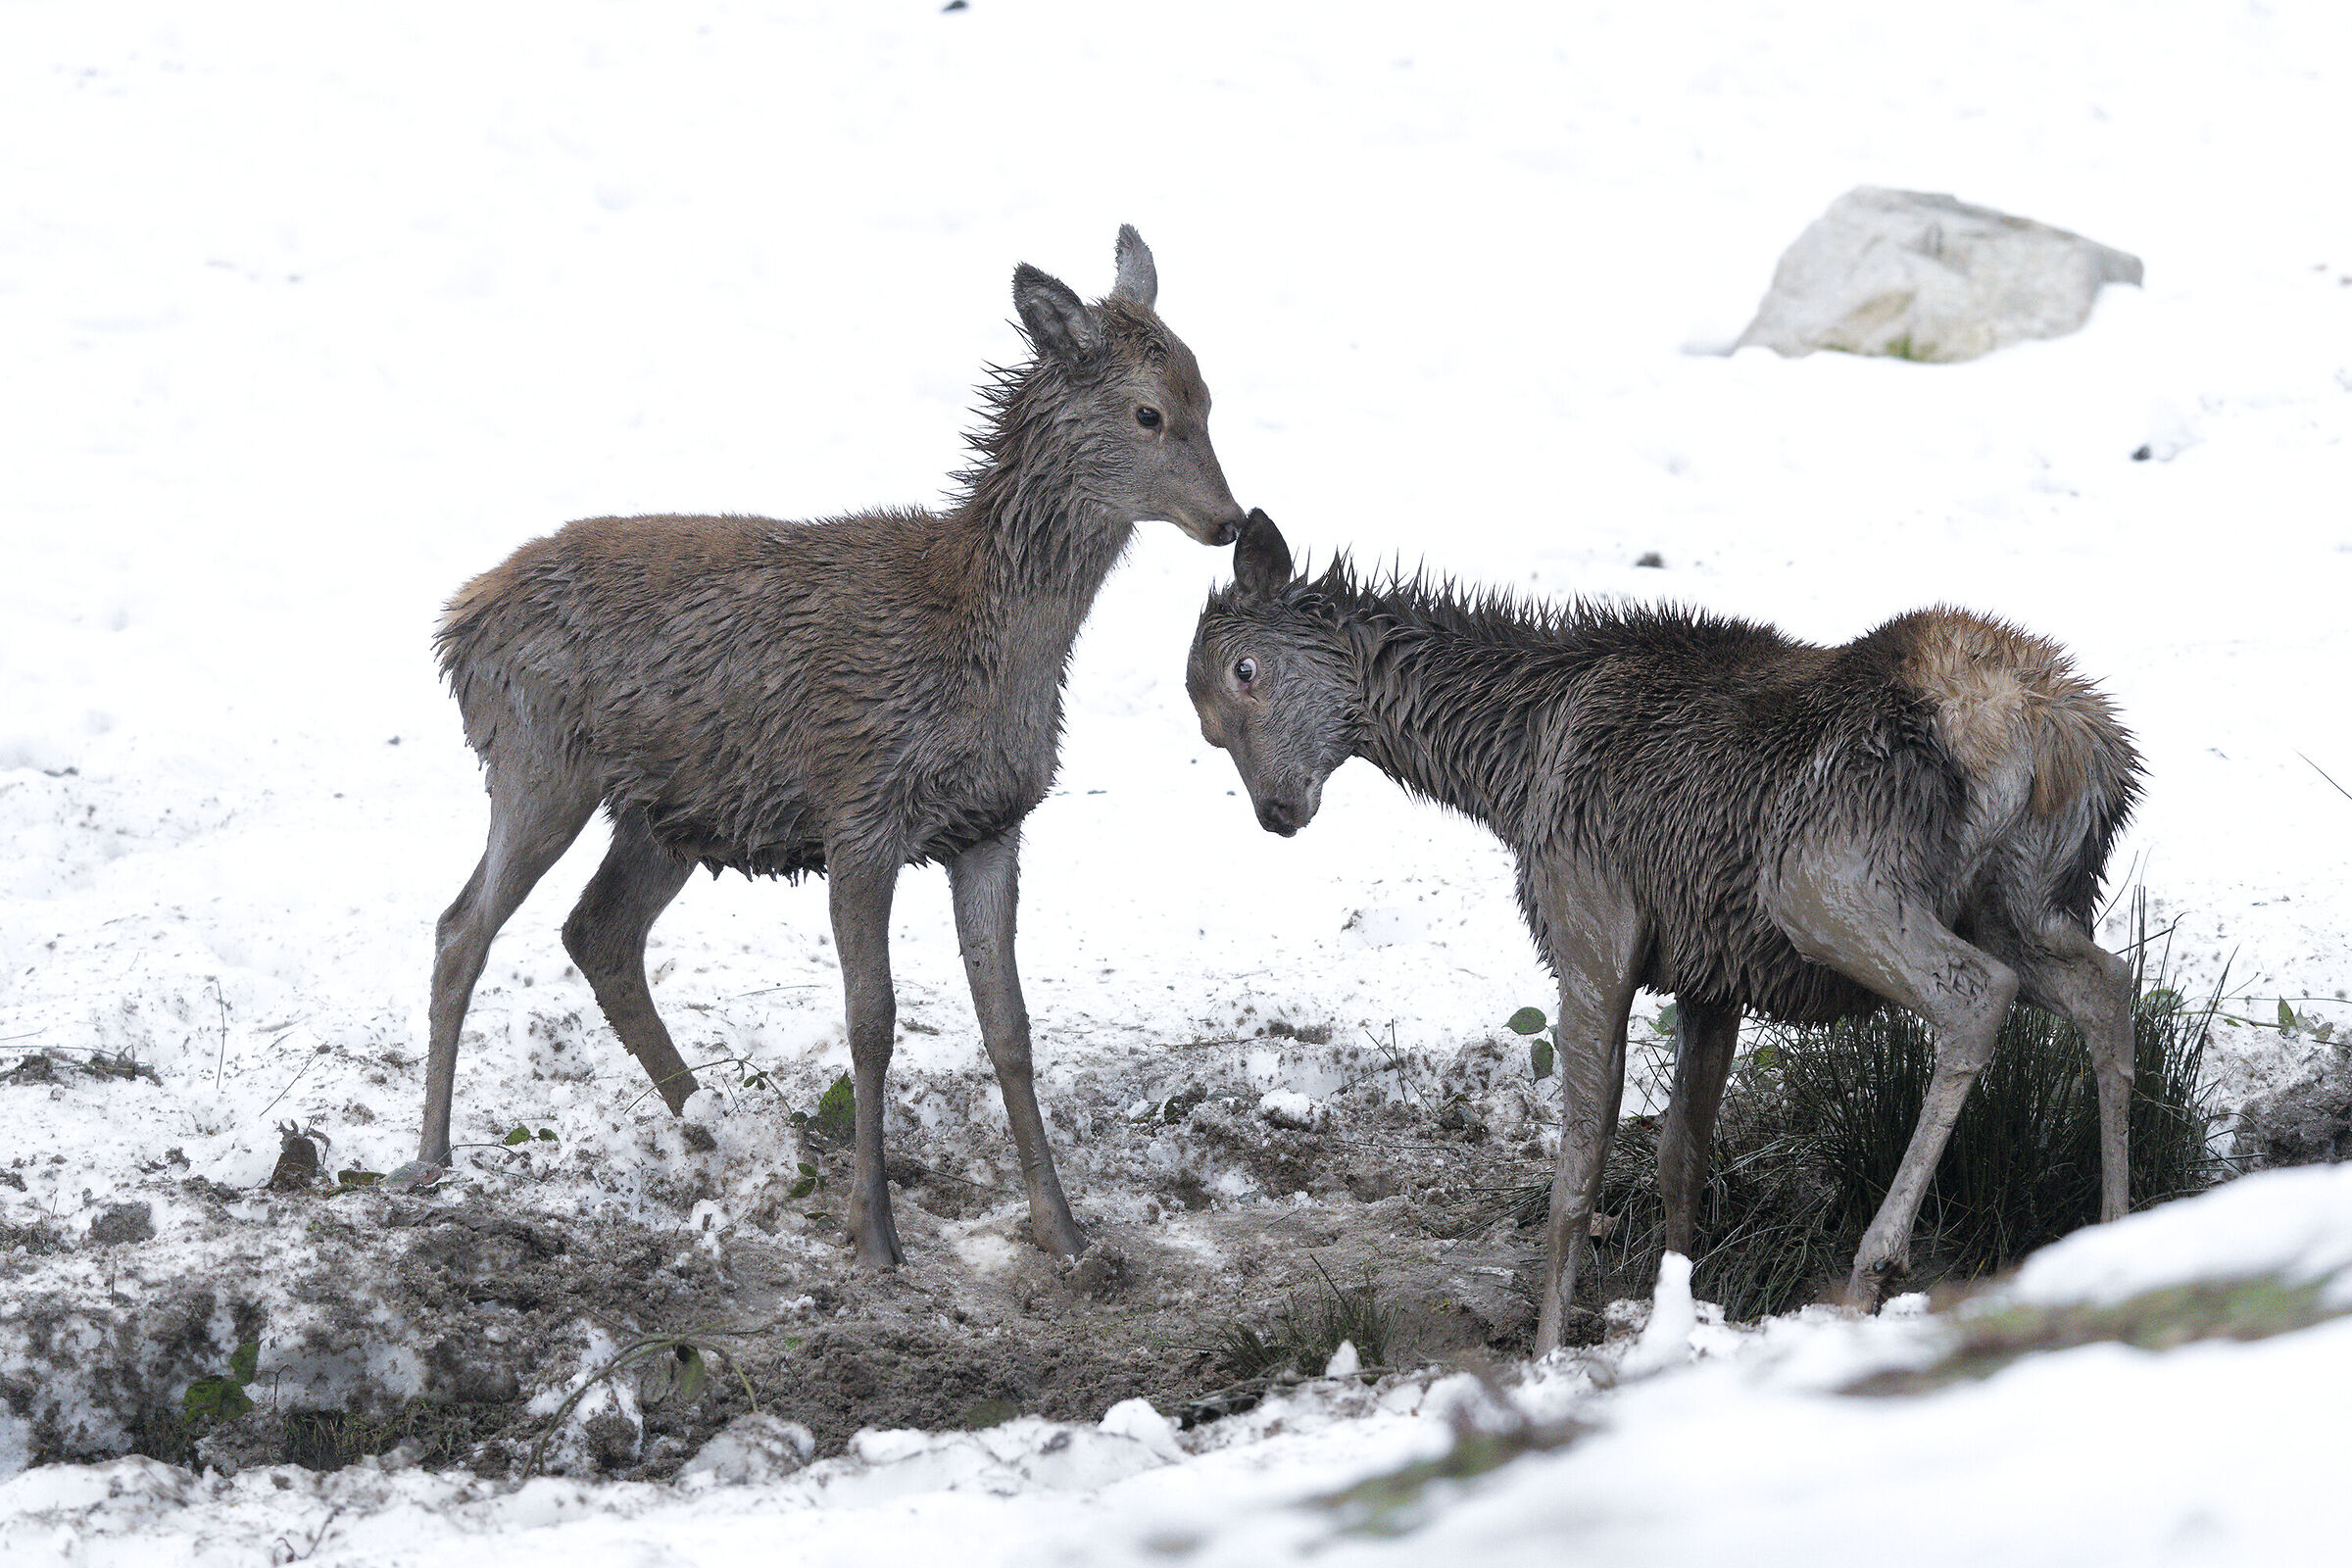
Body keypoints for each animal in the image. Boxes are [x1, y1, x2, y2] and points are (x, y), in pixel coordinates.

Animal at [422, 227, 1248, 1266]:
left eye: (1208, 396)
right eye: (1149, 411)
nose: (1231, 520)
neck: (983, 645)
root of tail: (457, 624)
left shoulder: (992, 823)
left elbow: (1010, 1025)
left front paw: (1062, 1229)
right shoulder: (860, 805)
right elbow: (871, 1021)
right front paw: (873, 1233)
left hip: (667, 813)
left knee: (598, 932)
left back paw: (718, 1129)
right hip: (537, 762)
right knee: (462, 929)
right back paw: (433, 1162)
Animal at [1188, 511, 2143, 1352]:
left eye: (1245, 670)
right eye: (1206, 724)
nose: (1278, 812)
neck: (1507, 766)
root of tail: (2060, 737)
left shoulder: (1591, 931)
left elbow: (1578, 1181)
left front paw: (1546, 1352)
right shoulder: (1709, 976)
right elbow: (1683, 1164)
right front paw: (1673, 1316)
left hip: (1829, 882)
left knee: (1979, 996)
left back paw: (1876, 1262)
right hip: (2028, 896)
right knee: (2107, 988)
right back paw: (2119, 1232)